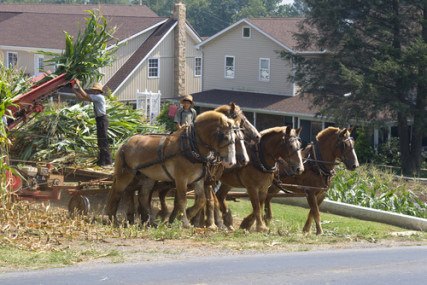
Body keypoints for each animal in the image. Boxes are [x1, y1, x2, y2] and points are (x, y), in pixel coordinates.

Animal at [105, 110, 237, 227]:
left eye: (235, 138)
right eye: (225, 137)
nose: (231, 162)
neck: (191, 146)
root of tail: (125, 143)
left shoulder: (198, 180)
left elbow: (201, 200)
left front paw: (188, 214)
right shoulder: (181, 179)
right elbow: (182, 200)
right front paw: (184, 222)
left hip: (148, 176)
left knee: (143, 195)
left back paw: (149, 221)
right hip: (126, 174)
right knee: (117, 192)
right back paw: (112, 219)